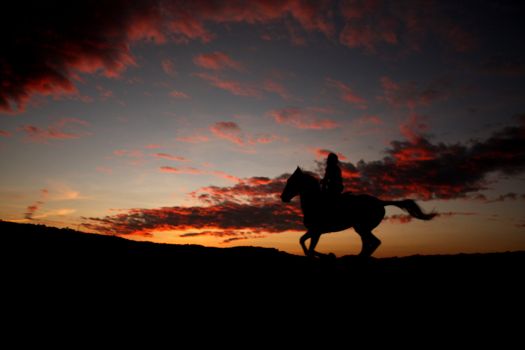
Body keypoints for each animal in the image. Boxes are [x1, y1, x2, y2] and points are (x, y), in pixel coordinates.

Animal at [280, 167, 436, 258]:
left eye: (291, 182)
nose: (283, 197)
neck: (315, 203)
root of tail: (380, 202)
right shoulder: (314, 231)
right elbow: (302, 241)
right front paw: (320, 254)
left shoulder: (317, 232)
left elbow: (311, 248)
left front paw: (325, 254)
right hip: (361, 228)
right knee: (367, 243)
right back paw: (358, 257)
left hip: (362, 227)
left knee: (375, 242)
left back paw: (359, 259)